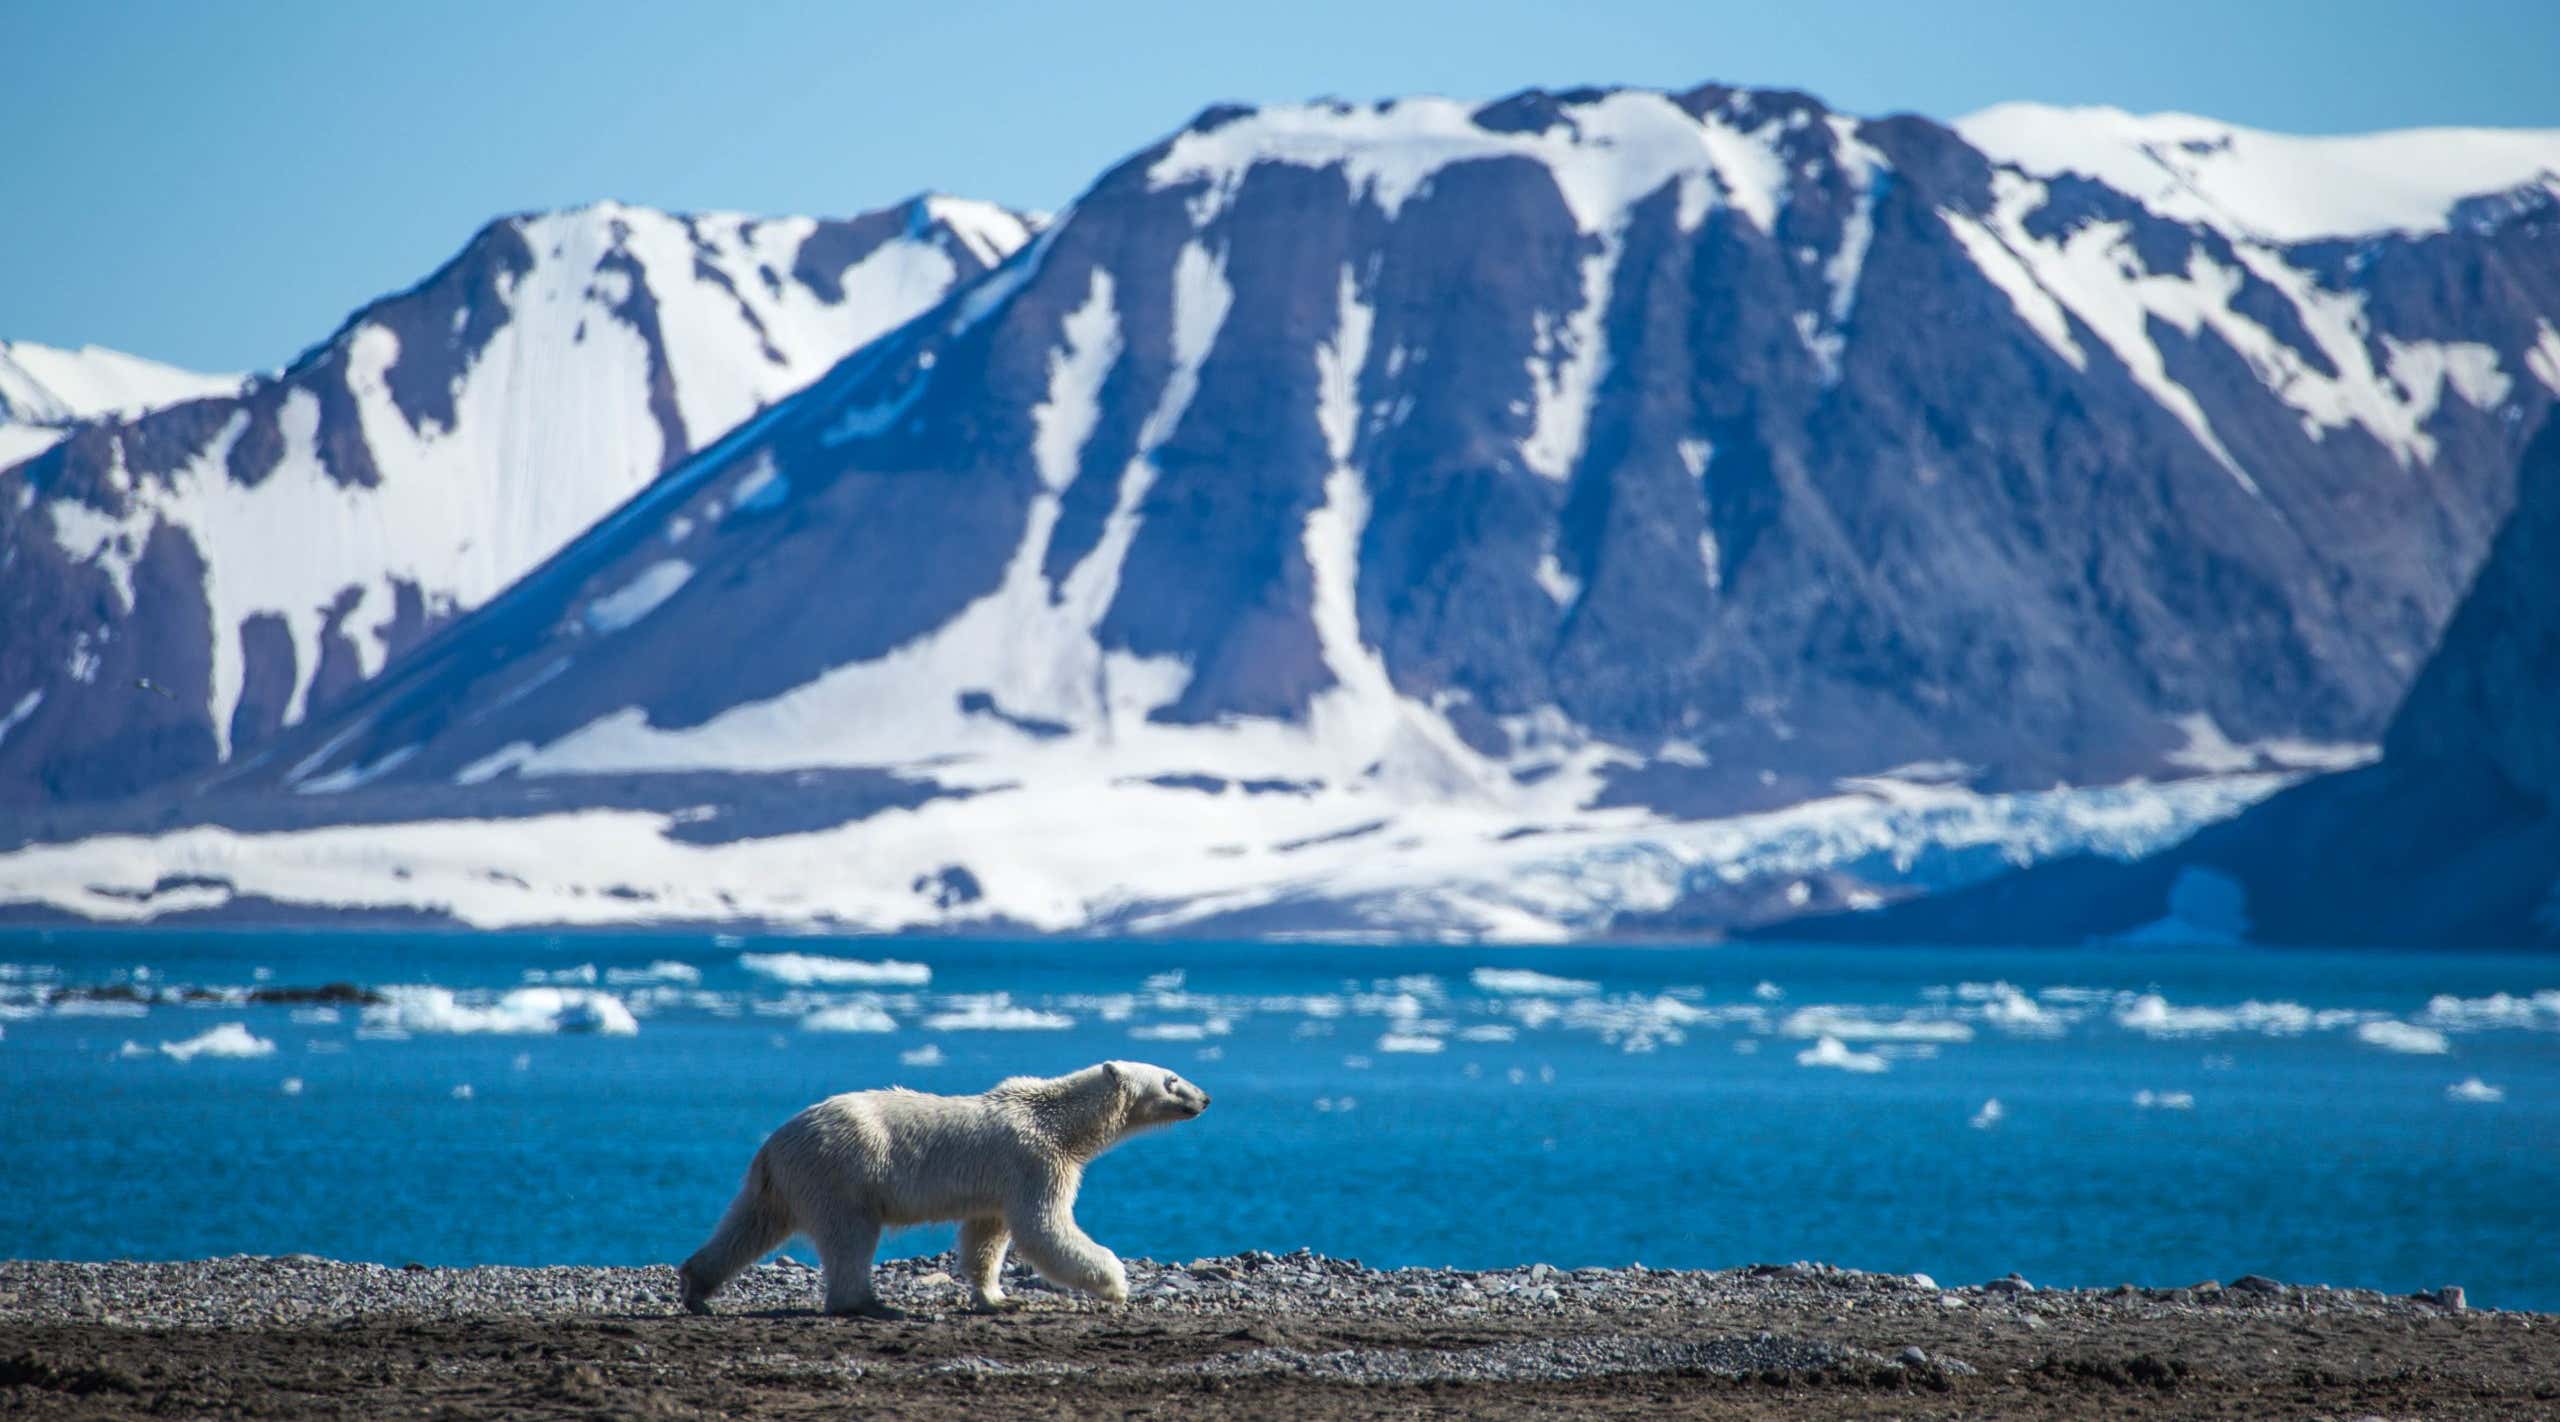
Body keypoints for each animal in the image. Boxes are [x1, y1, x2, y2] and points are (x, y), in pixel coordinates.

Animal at [678, 1060, 1210, 1318]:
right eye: (1171, 1079)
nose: (1205, 1098)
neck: (1058, 1121)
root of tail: (773, 1142)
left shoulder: (998, 1183)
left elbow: (986, 1236)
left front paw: (997, 1297)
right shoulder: (1035, 1161)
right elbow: (1044, 1227)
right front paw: (1116, 1282)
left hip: (784, 1182)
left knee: (749, 1226)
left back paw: (696, 1287)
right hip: (842, 1171)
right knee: (850, 1235)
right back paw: (870, 1304)